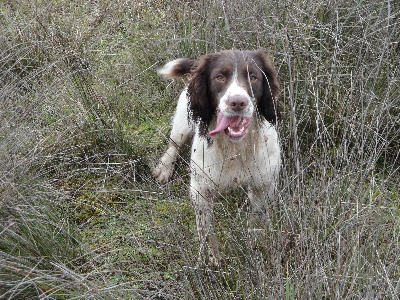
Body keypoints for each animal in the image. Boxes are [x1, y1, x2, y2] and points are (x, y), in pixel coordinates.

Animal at [153, 49, 282, 264]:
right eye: (220, 77)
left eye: (253, 77)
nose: (237, 103)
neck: (235, 148)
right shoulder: (200, 191)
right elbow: (207, 231)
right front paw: (213, 259)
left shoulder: (263, 186)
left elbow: (256, 222)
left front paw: (255, 250)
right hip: (184, 123)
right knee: (174, 144)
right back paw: (164, 167)